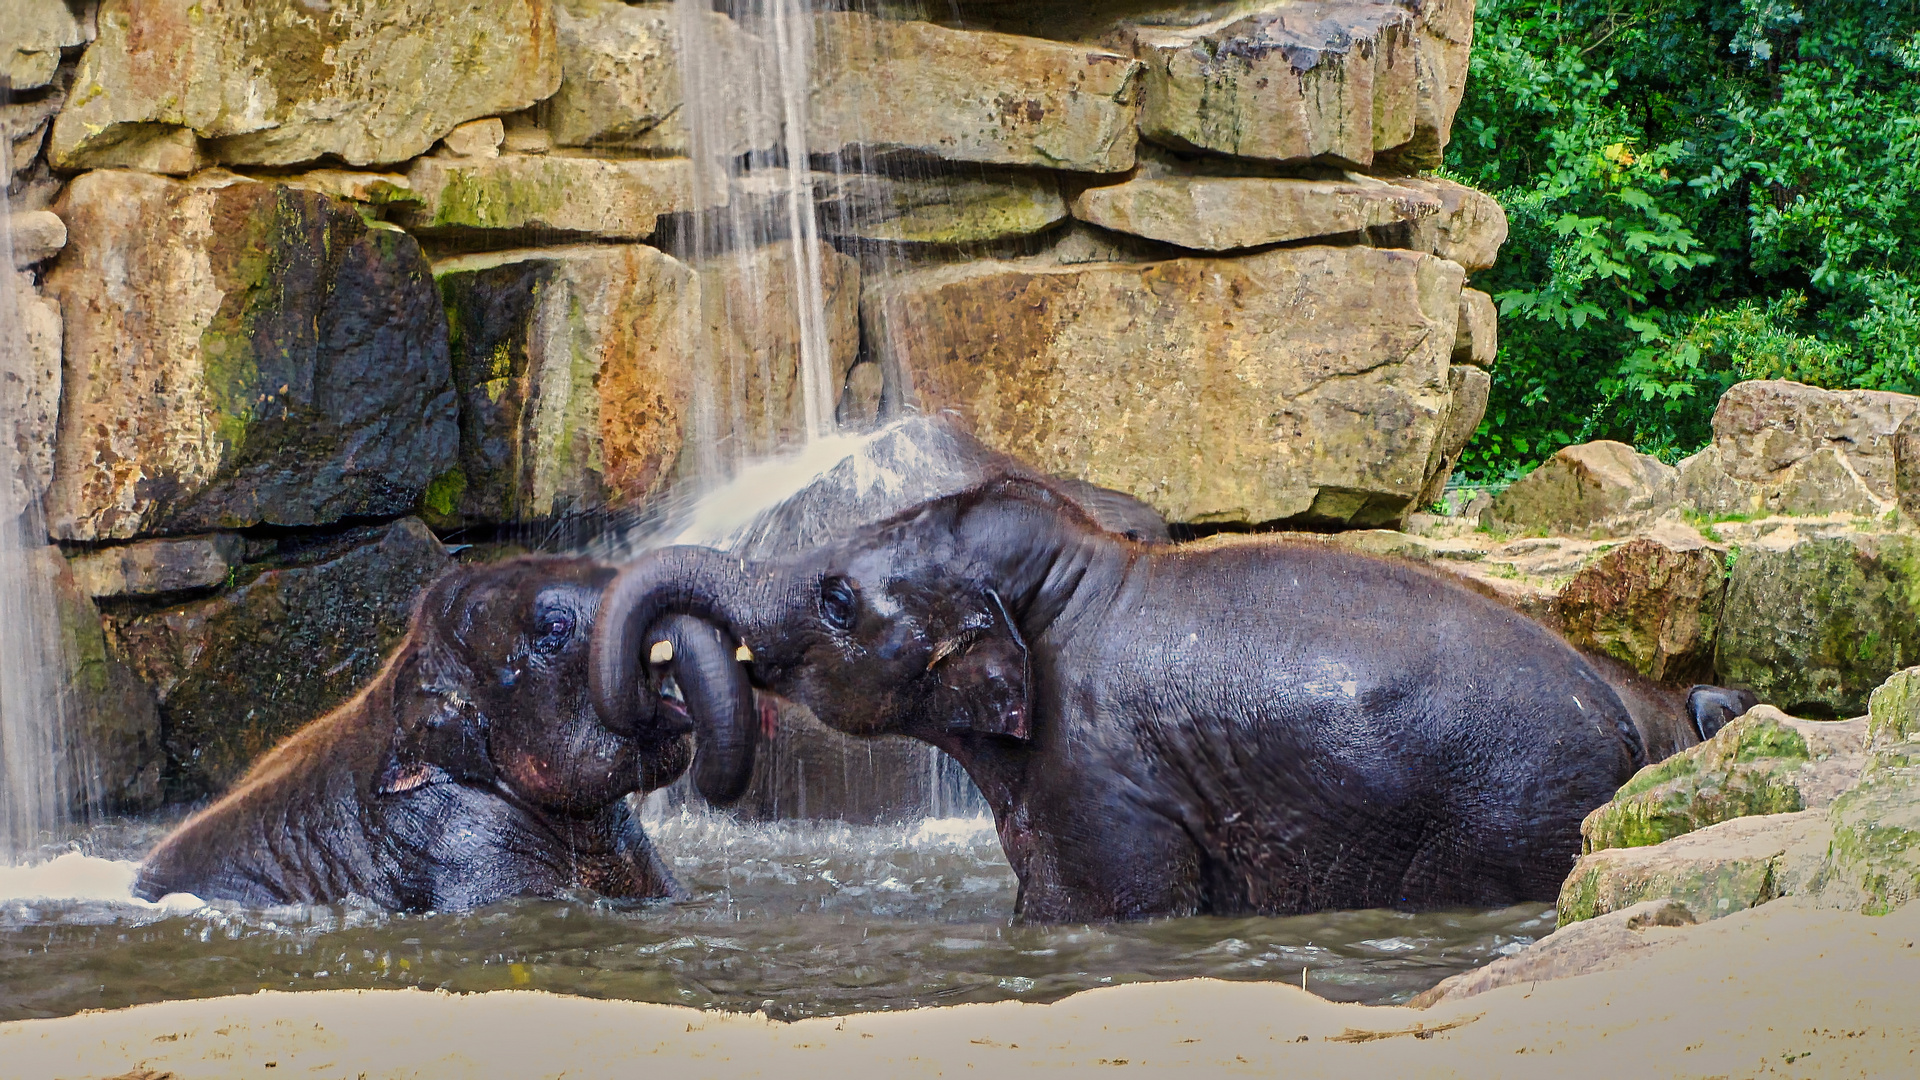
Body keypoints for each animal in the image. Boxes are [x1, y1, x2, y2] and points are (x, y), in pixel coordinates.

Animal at [587, 476, 1743, 914]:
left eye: (835, 600)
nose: (657, 694)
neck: (1081, 577)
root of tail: (1636, 727)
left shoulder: (1103, 779)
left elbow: (1102, 908)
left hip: (1510, 815)